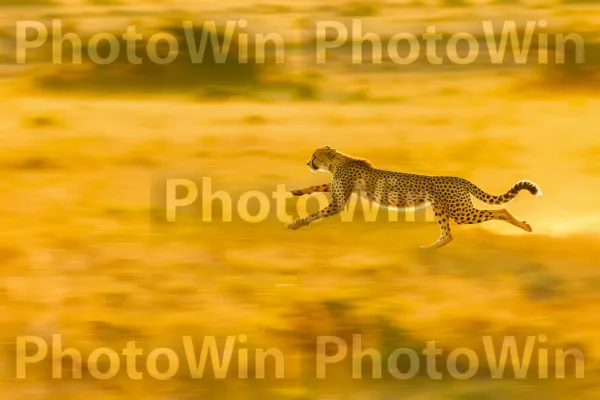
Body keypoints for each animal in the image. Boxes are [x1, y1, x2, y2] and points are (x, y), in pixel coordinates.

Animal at [286, 145, 544, 248]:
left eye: (314, 156)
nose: (308, 163)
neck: (338, 162)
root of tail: (459, 178)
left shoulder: (339, 200)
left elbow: (316, 213)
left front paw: (295, 223)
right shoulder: (338, 187)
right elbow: (317, 185)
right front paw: (296, 191)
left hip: (461, 212)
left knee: (501, 210)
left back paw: (525, 226)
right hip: (440, 209)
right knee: (448, 235)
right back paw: (428, 249)